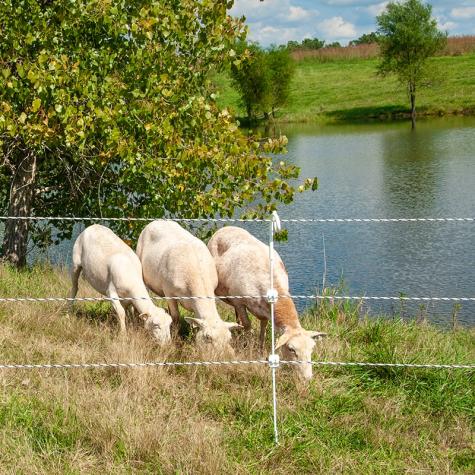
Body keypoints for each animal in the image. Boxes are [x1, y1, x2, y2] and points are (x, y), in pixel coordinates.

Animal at [137, 221, 242, 356]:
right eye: (208, 337)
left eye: (229, 338)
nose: (224, 357)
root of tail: (158, 221)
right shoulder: (169, 293)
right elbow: (175, 318)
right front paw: (175, 339)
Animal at [209, 227, 328, 384]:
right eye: (291, 349)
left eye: (312, 349)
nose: (307, 379)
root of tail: (226, 228)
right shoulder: (240, 302)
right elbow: (248, 325)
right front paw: (250, 348)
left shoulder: (264, 309)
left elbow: (264, 327)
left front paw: (259, 348)